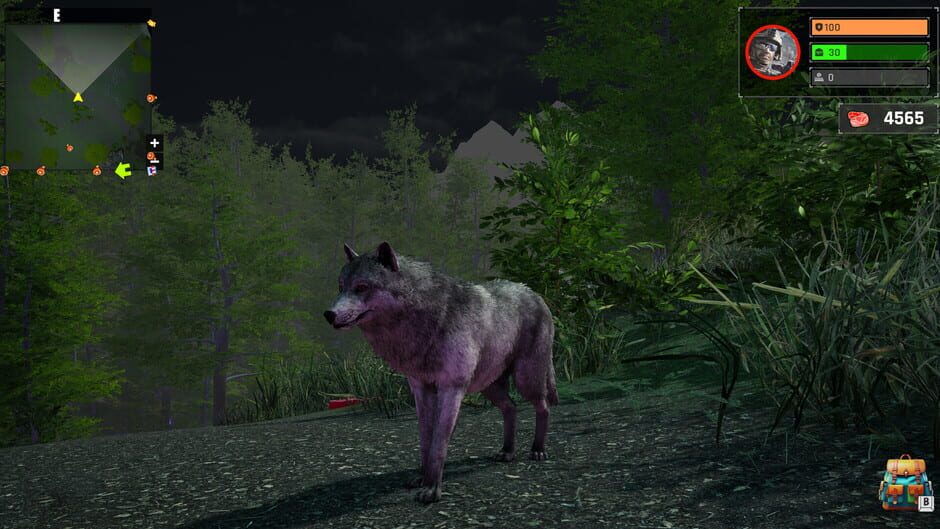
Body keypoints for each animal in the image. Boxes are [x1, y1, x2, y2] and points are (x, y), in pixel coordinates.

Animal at [324, 242, 558, 503]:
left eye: (362, 287)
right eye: (340, 287)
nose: (329, 314)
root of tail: (534, 293)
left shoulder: (451, 389)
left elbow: (438, 445)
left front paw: (431, 489)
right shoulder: (421, 389)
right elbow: (425, 440)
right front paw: (421, 478)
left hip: (526, 380)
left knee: (543, 406)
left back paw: (538, 450)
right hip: (489, 387)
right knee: (512, 407)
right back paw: (507, 452)